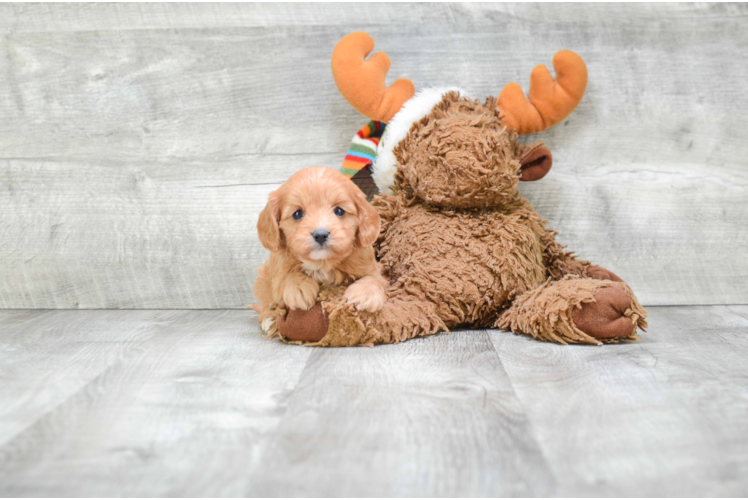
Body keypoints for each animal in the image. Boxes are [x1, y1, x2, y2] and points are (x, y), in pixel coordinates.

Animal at [253, 168, 388, 330]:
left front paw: (365, 294)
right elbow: (285, 276)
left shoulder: (369, 265)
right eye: (297, 214)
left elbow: (375, 278)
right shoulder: (277, 267)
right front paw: (299, 288)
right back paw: (268, 320)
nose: (321, 235)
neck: (322, 263)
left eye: (339, 211)